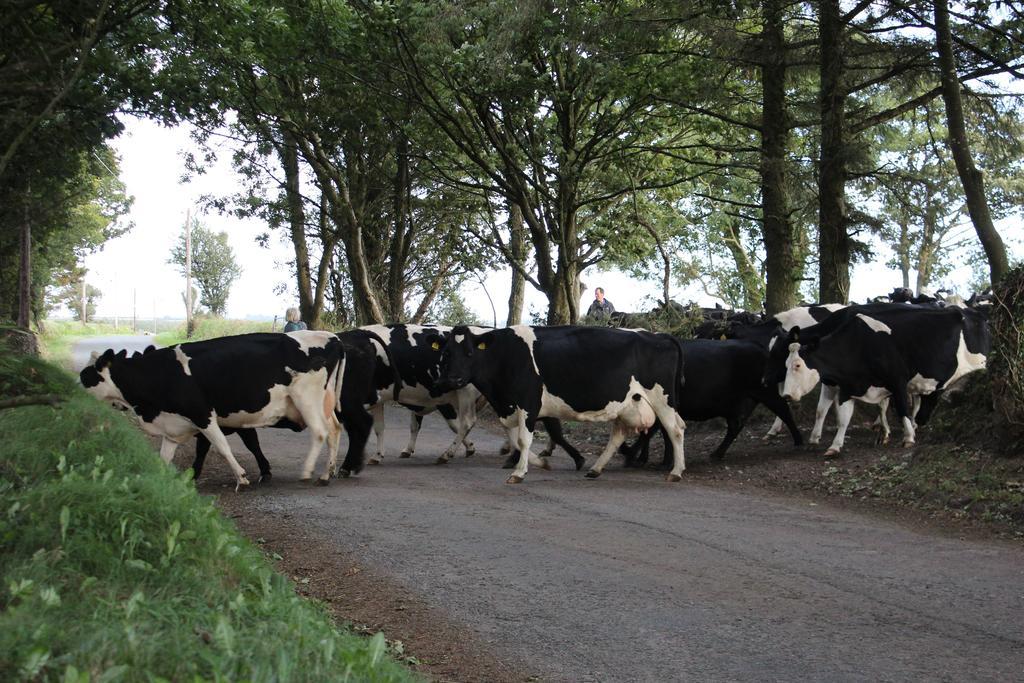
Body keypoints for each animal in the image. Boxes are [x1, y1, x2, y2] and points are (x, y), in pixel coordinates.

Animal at [79, 329, 344, 485]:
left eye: (86, 377)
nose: (73, 390)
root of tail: (332, 337)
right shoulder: (173, 426)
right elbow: (165, 457)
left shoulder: (202, 414)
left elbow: (222, 446)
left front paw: (241, 478)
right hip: (324, 402)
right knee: (334, 430)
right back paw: (326, 473)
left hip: (306, 398)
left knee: (320, 432)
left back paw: (308, 472)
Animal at [436, 325, 684, 481]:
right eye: (447, 353)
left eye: (469, 353)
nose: (453, 379)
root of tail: (659, 335)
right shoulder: (509, 407)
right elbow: (515, 439)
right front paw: (539, 463)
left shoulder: (528, 402)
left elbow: (523, 440)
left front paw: (519, 472)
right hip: (628, 404)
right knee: (619, 435)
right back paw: (595, 469)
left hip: (661, 400)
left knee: (675, 430)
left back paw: (676, 472)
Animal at [770, 303, 987, 454]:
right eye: (785, 362)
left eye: (797, 365)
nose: (786, 394)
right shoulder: (846, 384)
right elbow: (836, 415)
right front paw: (831, 444)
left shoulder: (897, 380)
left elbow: (900, 407)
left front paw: (906, 437)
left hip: (981, 365)